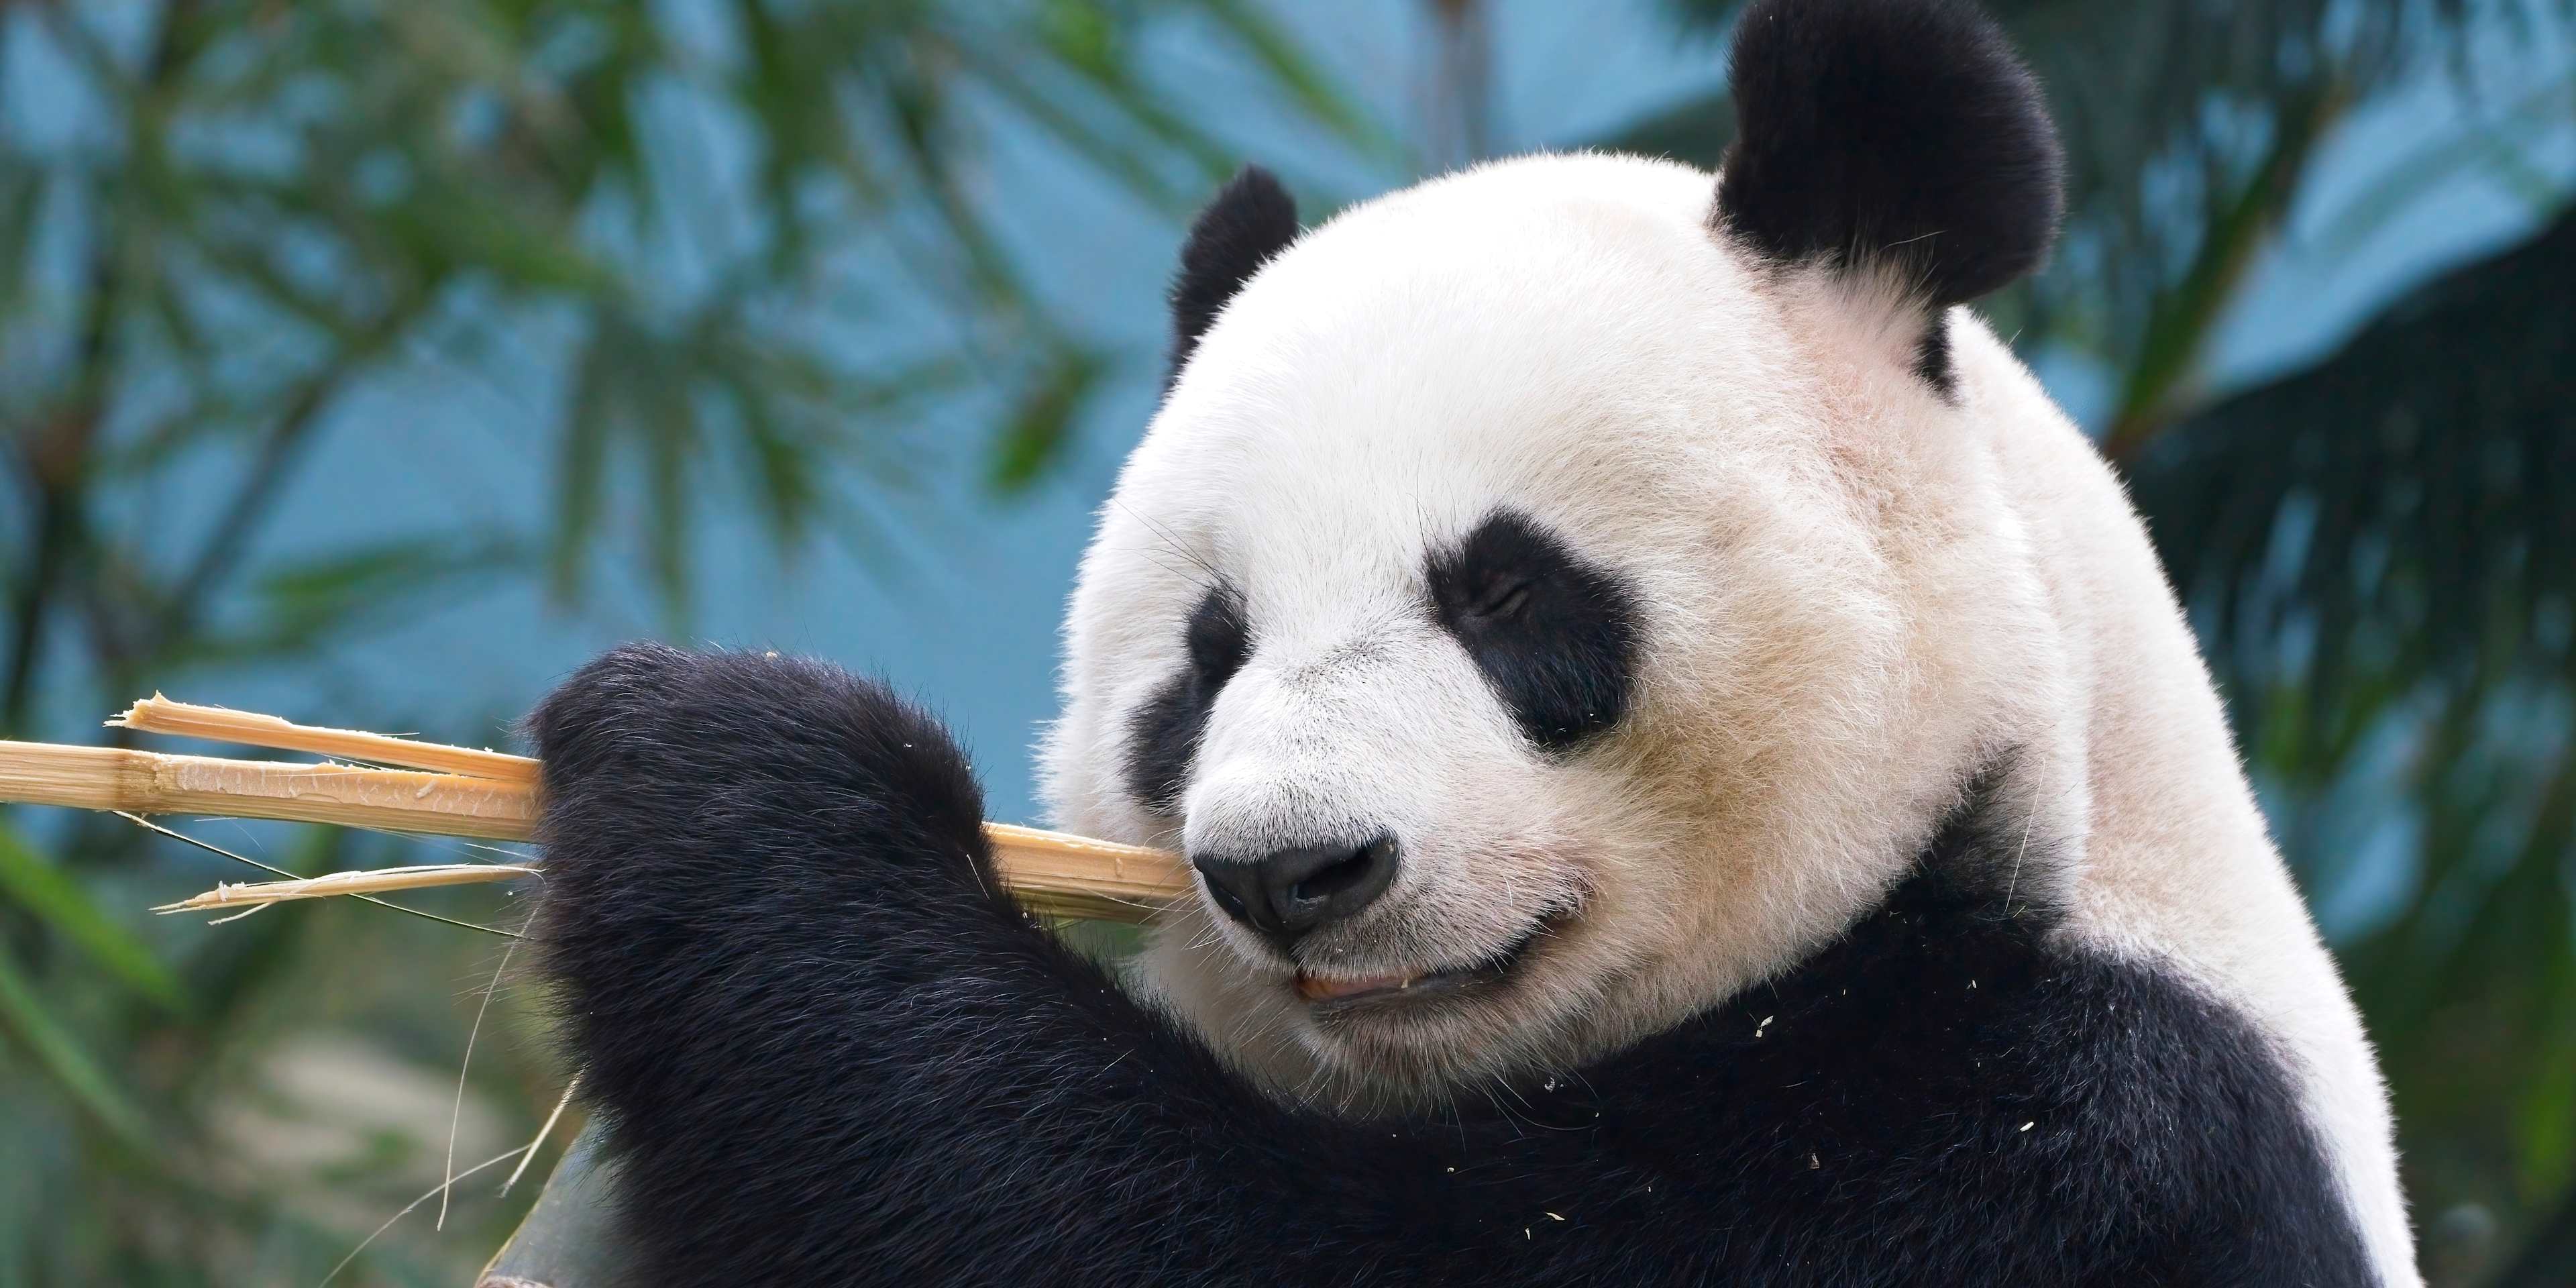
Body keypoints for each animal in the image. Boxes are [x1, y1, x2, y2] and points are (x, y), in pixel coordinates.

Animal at [523, 0, 2419, 1283]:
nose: (1293, 870)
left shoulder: (2059, 1142)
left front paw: (722, 768)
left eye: (1506, 594)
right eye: (1207, 655)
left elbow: (1183, 1231)